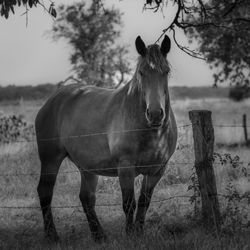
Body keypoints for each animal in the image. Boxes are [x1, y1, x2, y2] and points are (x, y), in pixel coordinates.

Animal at [35, 35, 178, 242]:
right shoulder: (125, 167)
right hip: (50, 159)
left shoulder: (157, 171)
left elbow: (144, 202)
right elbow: (129, 203)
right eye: (141, 72)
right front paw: (130, 236)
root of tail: (53, 100)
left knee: (86, 198)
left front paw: (139, 233)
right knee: (45, 192)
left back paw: (99, 235)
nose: (155, 114)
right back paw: (52, 235)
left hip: (86, 167)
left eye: (166, 72)